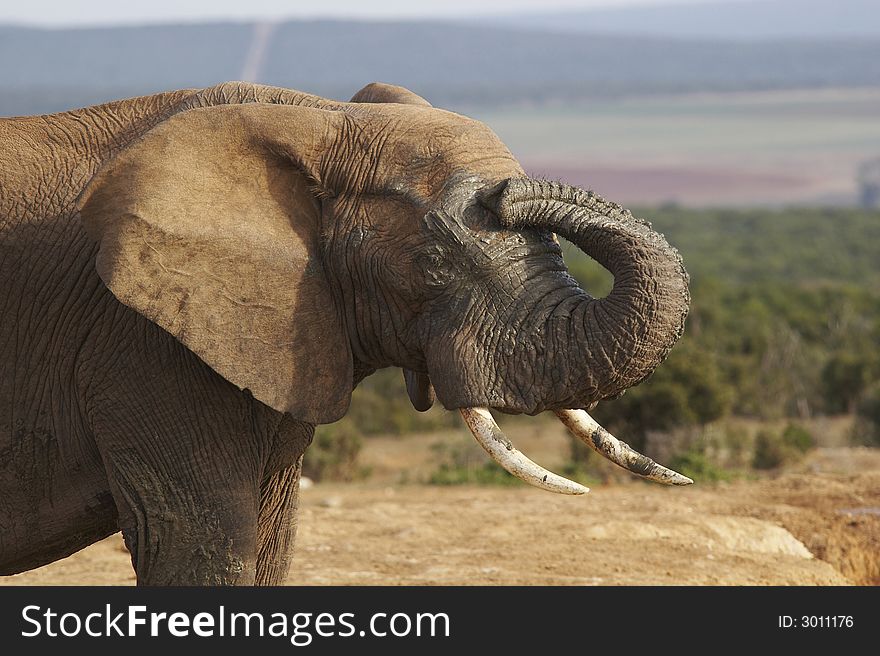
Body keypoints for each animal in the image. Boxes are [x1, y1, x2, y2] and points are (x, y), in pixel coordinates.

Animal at [0, 79, 688, 588]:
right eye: (432, 263)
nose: (507, 192)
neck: (319, 120)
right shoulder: (142, 341)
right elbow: (196, 545)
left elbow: (268, 547)